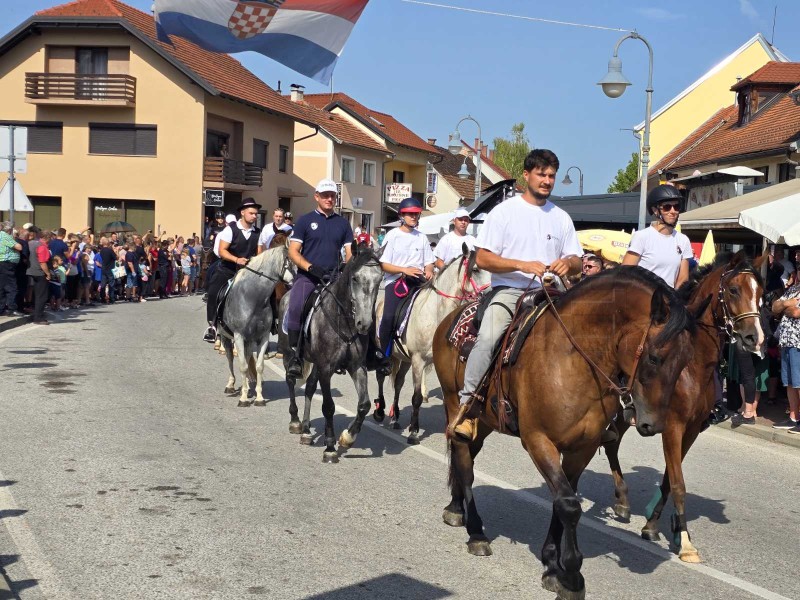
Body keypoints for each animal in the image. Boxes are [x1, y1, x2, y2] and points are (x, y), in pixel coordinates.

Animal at [219, 244, 294, 408]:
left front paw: (259, 397)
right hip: (226, 337)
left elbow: (258, 366)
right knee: (230, 358)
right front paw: (243, 399)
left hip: (249, 340)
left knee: (247, 359)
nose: (293, 283)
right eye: (289, 261)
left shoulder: (262, 336)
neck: (253, 298)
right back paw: (231, 385)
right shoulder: (239, 336)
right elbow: (242, 365)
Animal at [278, 241, 384, 462]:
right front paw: (329, 446)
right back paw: (295, 421)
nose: (364, 324)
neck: (344, 322)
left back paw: (306, 430)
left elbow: (364, 404)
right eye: (355, 278)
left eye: (380, 279)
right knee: (291, 381)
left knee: (309, 388)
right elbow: (328, 406)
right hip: (289, 354)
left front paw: (347, 438)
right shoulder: (326, 368)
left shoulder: (356, 366)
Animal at [374, 244, 490, 446]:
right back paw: (380, 412)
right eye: (475, 270)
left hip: (405, 360)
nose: (491, 294)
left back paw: (395, 418)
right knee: (381, 377)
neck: (434, 313)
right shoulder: (418, 361)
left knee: (398, 383)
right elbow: (417, 397)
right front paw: (413, 432)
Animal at [432, 268, 700, 600]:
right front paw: (572, 576)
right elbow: (569, 506)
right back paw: (476, 532)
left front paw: (551, 565)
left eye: (686, 360)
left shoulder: (581, 449)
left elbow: (562, 501)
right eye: (654, 357)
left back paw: (456, 507)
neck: (572, 360)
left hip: (483, 420)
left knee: (466, 455)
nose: (653, 425)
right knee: (464, 462)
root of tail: (451, 317)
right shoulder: (538, 441)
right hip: (454, 401)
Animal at [604, 252, 764, 564]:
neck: (694, 365)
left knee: (611, 443)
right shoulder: (673, 427)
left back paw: (622, 501)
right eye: (734, 290)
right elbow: (678, 482)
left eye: (761, 293)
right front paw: (687, 543)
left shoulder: (691, 430)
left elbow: (669, 479)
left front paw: (655, 526)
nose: (755, 338)